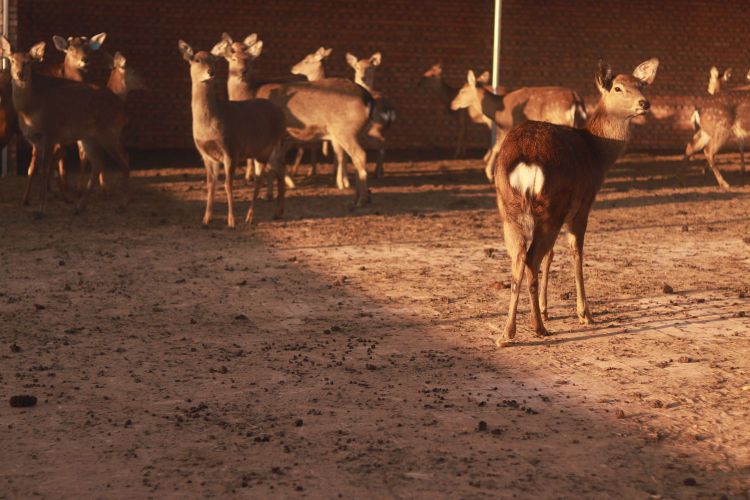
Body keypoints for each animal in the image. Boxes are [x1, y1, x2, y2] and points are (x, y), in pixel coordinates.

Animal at [179, 41, 288, 229]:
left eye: (214, 60)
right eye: (197, 60)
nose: (211, 72)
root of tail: (282, 115)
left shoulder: (231, 148)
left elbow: (228, 185)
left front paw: (231, 221)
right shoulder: (206, 154)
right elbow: (211, 184)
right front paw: (206, 219)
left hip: (265, 148)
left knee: (260, 179)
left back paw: (249, 217)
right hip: (271, 147)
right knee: (280, 169)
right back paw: (277, 212)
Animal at [212, 33, 376, 205]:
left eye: (249, 59)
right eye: (233, 57)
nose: (242, 72)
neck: (250, 94)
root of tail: (367, 97)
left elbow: (268, 164)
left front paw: (268, 194)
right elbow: (274, 163)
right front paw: (272, 193)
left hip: (344, 130)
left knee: (360, 155)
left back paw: (362, 199)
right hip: (354, 132)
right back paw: (358, 196)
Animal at [450, 69, 592, 181]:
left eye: (462, 91)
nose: (452, 104)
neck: (498, 112)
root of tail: (577, 102)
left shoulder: (507, 126)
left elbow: (497, 147)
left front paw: (490, 175)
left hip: (560, 121)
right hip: (580, 122)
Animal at [496, 58, 660, 346]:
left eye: (641, 85)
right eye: (617, 88)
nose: (644, 103)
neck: (597, 154)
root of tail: (524, 159)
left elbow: (552, 255)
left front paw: (547, 309)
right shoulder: (583, 205)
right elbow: (576, 253)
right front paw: (585, 314)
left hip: (510, 207)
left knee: (520, 258)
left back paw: (508, 333)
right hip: (550, 205)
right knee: (531, 258)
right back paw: (538, 328)